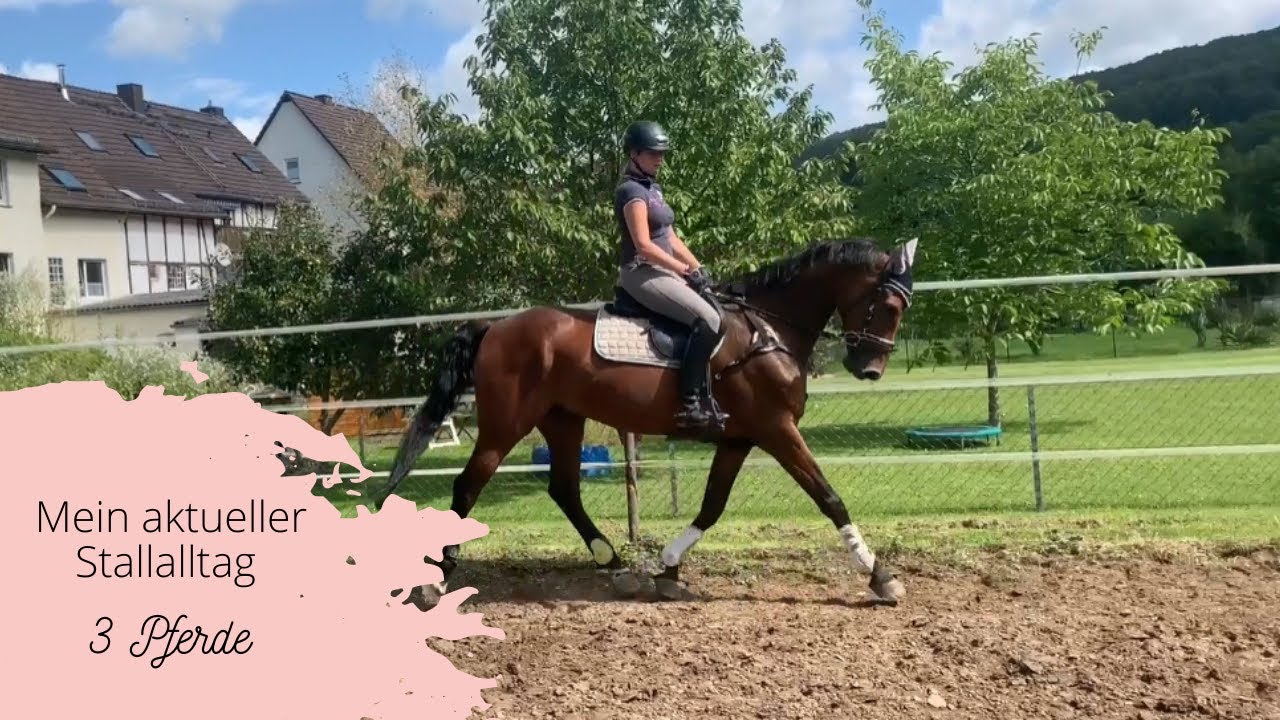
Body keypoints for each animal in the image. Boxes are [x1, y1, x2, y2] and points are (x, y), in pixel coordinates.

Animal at [375, 236, 918, 605]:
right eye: (889, 304)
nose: (870, 369)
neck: (769, 331)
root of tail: (496, 327)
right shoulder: (777, 430)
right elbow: (829, 498)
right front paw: (881, 577)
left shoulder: (739, 439)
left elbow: (711, 507)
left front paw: (668, 570)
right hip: (505, 425)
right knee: (468, 486)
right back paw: (437, 580)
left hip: (563, 421)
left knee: (564, 489)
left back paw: (617, 566)